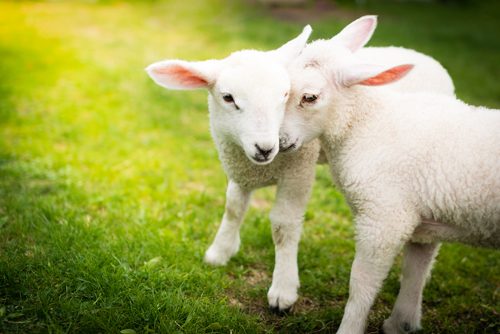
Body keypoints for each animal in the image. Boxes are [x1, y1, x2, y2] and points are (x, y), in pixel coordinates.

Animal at [146, 20, 456, 316]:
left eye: (285, 94)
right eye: (228, 97)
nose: (266, 148)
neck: (261, 166)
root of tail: (422, 55)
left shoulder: (298, 171)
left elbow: (283, 224)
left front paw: (282, 291)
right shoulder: (242, 168)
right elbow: (234, 207)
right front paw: (220, 251)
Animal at [280, 15, 500, 334]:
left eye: (309, 97)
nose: (276, 142)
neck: (368, 125)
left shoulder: (384, 218)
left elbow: (361, 284)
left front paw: (350, 328)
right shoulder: (425, 219)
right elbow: (415, 270)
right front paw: (401, 323)